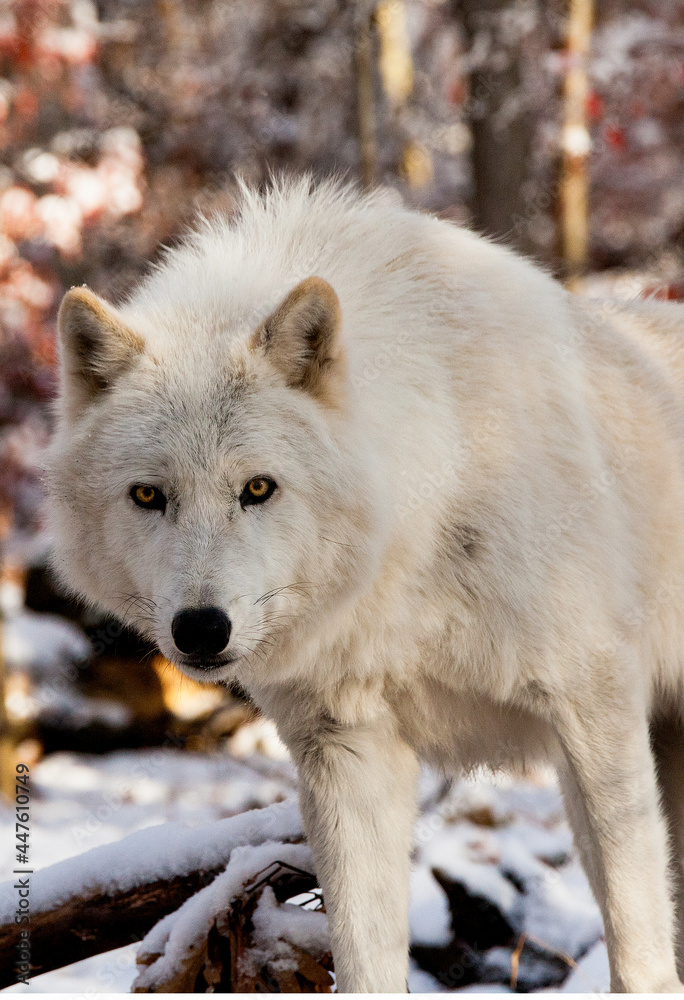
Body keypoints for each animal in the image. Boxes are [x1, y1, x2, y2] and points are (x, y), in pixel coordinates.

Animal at [45, 177, 684, 992]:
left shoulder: (592, 706)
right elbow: (365, 956)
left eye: (258, 488)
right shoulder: (346, 750)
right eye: (149, 496)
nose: (201, 628)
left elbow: (639, 953)